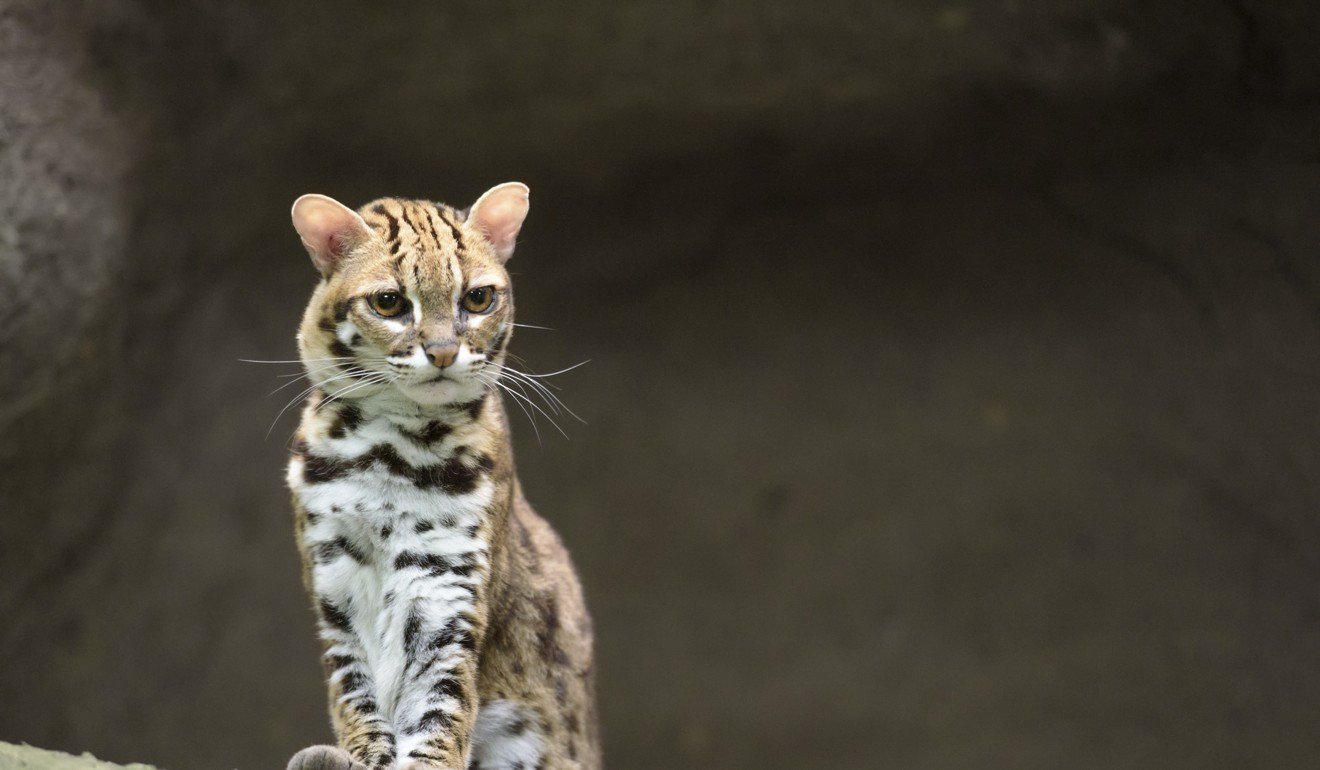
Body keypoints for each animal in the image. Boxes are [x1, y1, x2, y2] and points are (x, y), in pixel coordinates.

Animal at [286, 182, 601, 770]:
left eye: (477, 299)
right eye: (389, 302)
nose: (443, 352)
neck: (391, 448)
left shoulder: (446, 582)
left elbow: (440, 703)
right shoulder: (334, 584)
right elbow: (354, 694)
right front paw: (363, 755)